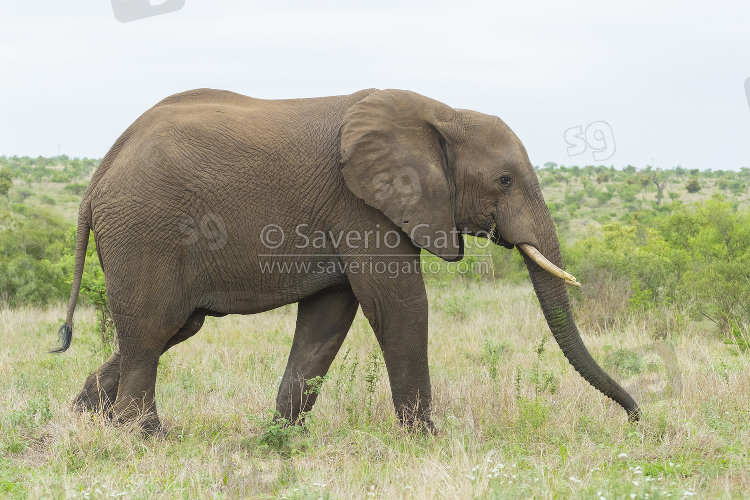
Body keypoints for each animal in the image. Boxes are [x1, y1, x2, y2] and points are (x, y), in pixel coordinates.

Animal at [53, 88, 640, 432]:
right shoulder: (362, 205)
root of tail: (97, 176)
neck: (442, 114)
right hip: (145, 231)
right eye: (504, 180)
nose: (635, 419)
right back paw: (141, 436)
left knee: (171, 328)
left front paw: (280, 439)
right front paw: (426, 441)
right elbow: (399, 305)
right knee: (153, 330)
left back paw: (84, 418)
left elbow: (327, 319)